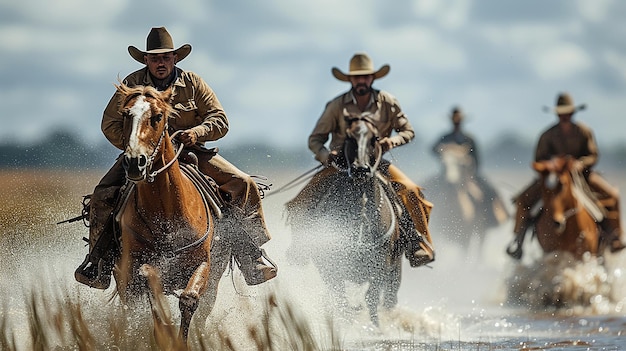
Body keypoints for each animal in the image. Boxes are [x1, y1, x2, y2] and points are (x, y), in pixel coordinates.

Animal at [112, 84, 229, 348]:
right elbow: (150, 282)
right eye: (125, 115)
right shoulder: (134, 265)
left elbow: (189, 299)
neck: (167, 211)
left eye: (157, 116)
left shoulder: (203, 263)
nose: (134, 162)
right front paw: (163, 334)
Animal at [284, 110, 400, 328]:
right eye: (349, 137)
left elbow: (371, 298)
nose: (360, 169)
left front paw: (375, 327)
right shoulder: (330, 265)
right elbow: (341, 299)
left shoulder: (381, 265)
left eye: (375, 138)